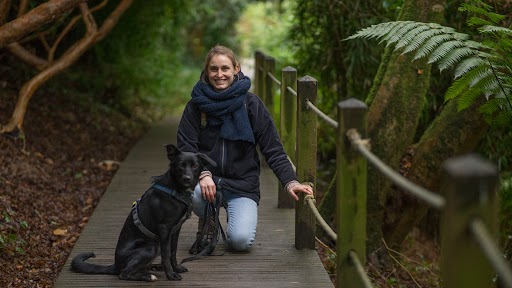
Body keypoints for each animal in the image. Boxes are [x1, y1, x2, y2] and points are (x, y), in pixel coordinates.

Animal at [70, 144, 214, 282]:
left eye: (195, 166)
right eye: (180, 165)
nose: (187, 178)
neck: (175, 189)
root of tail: (115, 265)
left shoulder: (175, 230)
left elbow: (172, 251)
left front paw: (176, 268)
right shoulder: (164, 228)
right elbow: (166, 254)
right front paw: (171, 274)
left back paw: (155, 267)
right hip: (151, 246)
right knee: (124, 273)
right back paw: (148, 277)